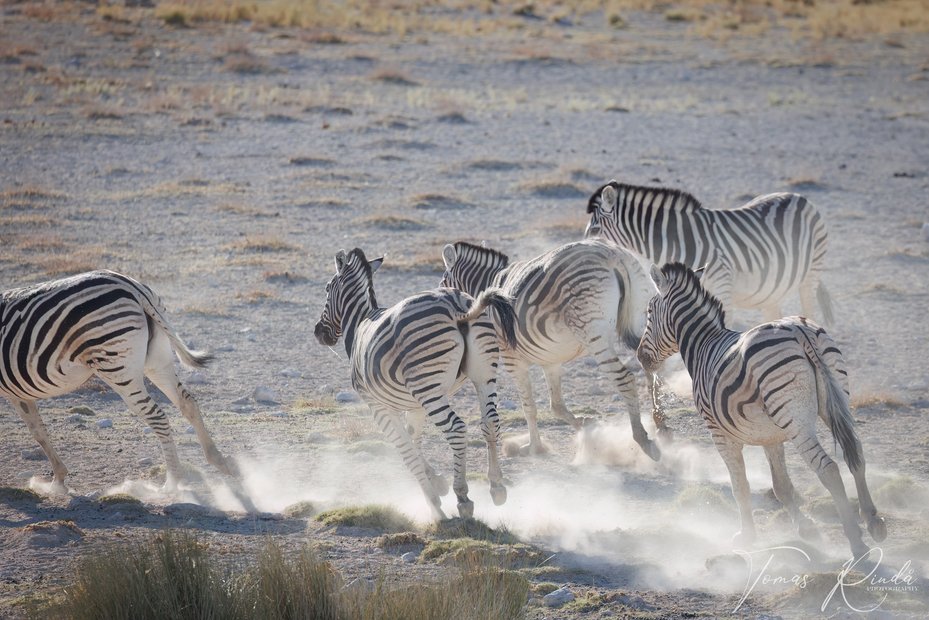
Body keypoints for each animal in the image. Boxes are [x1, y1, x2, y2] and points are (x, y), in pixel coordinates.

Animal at [1, 272, 241, 498]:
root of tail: (130, 286)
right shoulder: (19, 393)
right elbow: (38, 430)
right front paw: (58, 480)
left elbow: (37, 431)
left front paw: (56, 481)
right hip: (157, 359)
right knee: (187, 402)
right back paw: (221, 461)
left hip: (116, 366)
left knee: (157, 416)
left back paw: (172, 482)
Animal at [316, 247, 520, 520]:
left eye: (327, 288)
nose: (318, 332)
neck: (359, 323)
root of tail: (457, 306)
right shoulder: (414, 405)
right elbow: (413, 438)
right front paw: (438, 482)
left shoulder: (377, 405)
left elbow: (406, 451)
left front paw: (434, 504)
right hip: (483, 374)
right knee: (490, 422)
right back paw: (496, 486)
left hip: (429, 387)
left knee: (456, 429)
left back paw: (463, 497)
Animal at [440, 240, 664, 458]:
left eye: (443, 283)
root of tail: (612, 255)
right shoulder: (550, 361)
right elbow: (556, 405)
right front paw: (587, 426)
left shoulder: (512, 358)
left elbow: (528, 406)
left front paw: (534, 448)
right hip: (645, 321)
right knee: (653, 371)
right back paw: (662, 425)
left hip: (593, 333)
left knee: (625, 379)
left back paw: (643, 439)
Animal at [584, 179, 832, 324]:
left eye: (594, 229)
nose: (582, 253)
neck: (677, 240)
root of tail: (798, 196)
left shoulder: (722, 288)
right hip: (773, 288)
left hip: (811, 274)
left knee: (810, 310)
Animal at [640, 262, 884, 556]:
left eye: (649, 312)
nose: (640, 357)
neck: (703, 344)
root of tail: (796, 329)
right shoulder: (770, 435)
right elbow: (782, 487)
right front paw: (807, 530)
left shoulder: (720, 434)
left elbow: (740, 486)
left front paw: (746, 536)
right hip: (834, 399)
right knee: (856, 453)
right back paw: (873, 521)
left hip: (796, 419)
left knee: (828, 468)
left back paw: (856, 541)